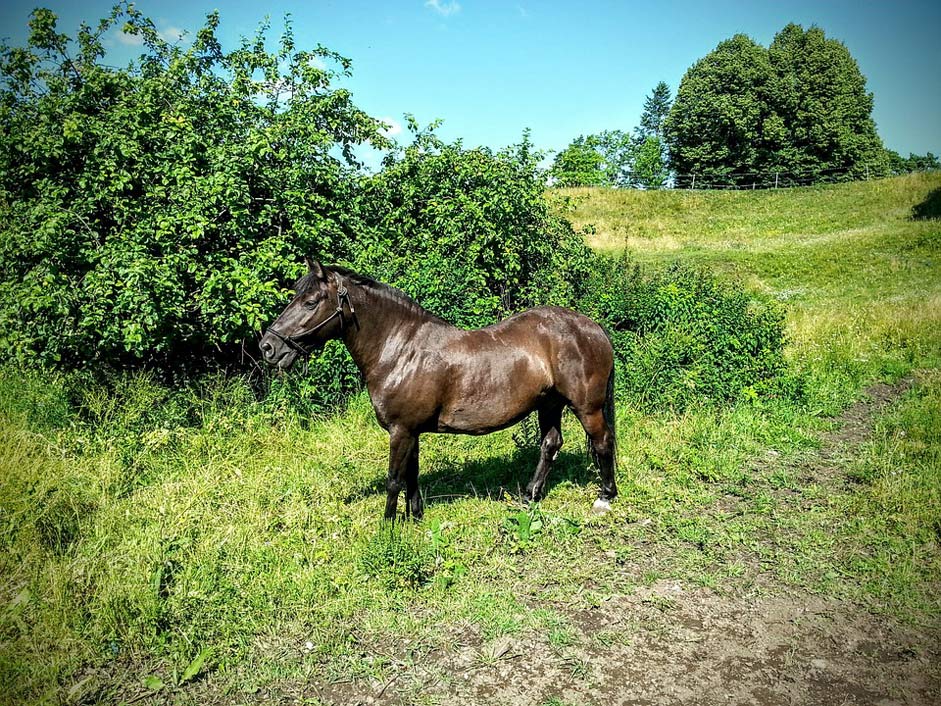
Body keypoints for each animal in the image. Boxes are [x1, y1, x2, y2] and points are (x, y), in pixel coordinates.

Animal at [260, 258, 620, 516]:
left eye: (310, 302)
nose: (268, 347)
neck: (401, 350)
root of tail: (592, 327)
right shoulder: (410, 431)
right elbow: (412, 474)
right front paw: (414, 516)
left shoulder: (401, 430)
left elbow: (394, 479)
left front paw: (388, 528)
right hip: (549, 403)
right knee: (550, 444)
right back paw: (529, 496)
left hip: (586, 407)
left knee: (602, 442)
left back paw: (604, 498)